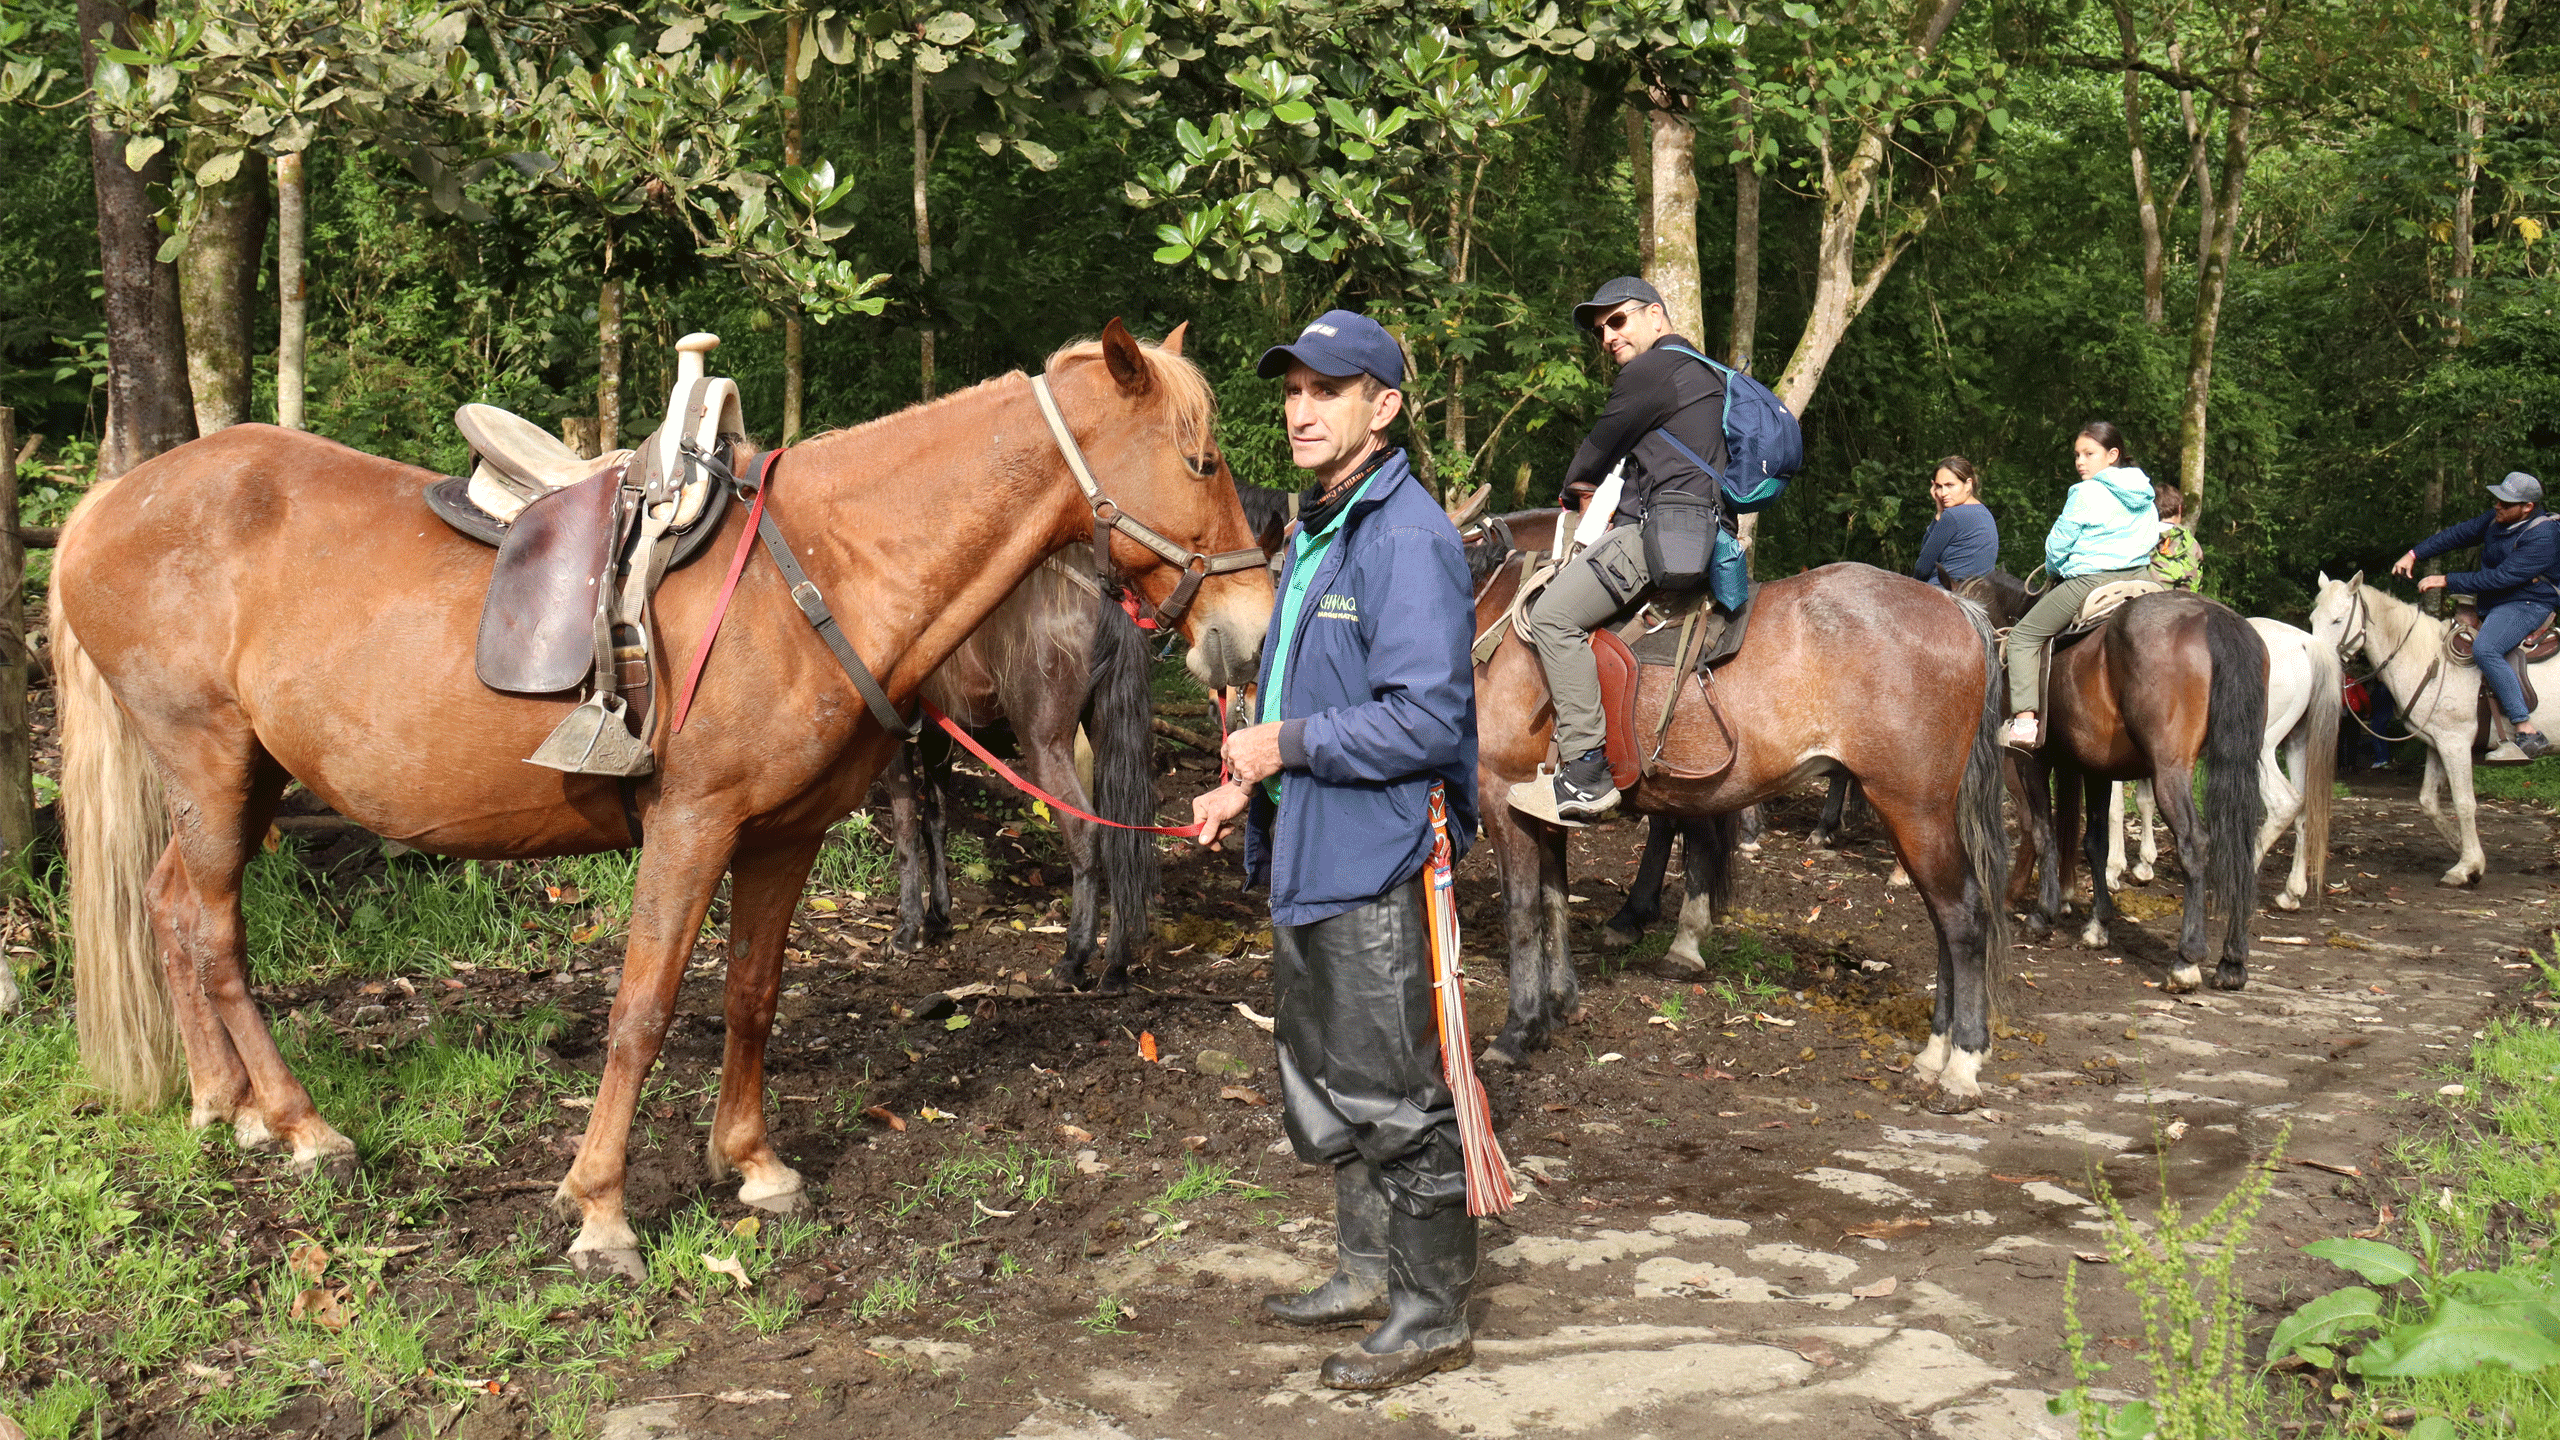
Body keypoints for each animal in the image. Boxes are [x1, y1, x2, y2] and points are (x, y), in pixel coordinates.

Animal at [49, 319, 1269, 1270]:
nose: (1249, 633)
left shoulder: (782, 836)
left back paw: (227, 1107)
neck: (820, 572)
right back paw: (303, 1127)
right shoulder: (691, 825)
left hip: (243, 777)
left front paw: (754, 1164)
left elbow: (751, 997)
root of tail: (106, 506)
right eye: (1202, 461)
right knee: (215, 934)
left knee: (169, 907)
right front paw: (602, 1211)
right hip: (210, 764)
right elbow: (640, 1010)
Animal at [1945, 568, 2273, 983]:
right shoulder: (2097, 769)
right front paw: (2097, 925)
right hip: (2238, 762)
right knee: (2241, 844)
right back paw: (2232, 959)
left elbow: (2044, 831)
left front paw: (2043, 913)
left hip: (2170, 770)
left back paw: (2187, 958)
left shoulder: (2031, 760)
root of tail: (2213, 617)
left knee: (2194, 842)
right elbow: (2094, 843)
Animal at [2099, 617, 2344, 907]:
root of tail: (2306, 643)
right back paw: (2291, 892)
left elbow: (2114, 808)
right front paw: (2144, 866)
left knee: (2285, 804)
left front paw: (2112, 869)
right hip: (2297, 744)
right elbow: (2145, 802)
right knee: (2305, 809)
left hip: (2258, 751)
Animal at [2314, 566, 2549, 881]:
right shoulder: (2439, 744)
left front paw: (2467, 866)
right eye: (2313, 619)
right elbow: (2428, 801)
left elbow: (2464, 803)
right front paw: (2463, 849)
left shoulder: (2455, 743)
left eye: (2338, 620)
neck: (2430, 660)